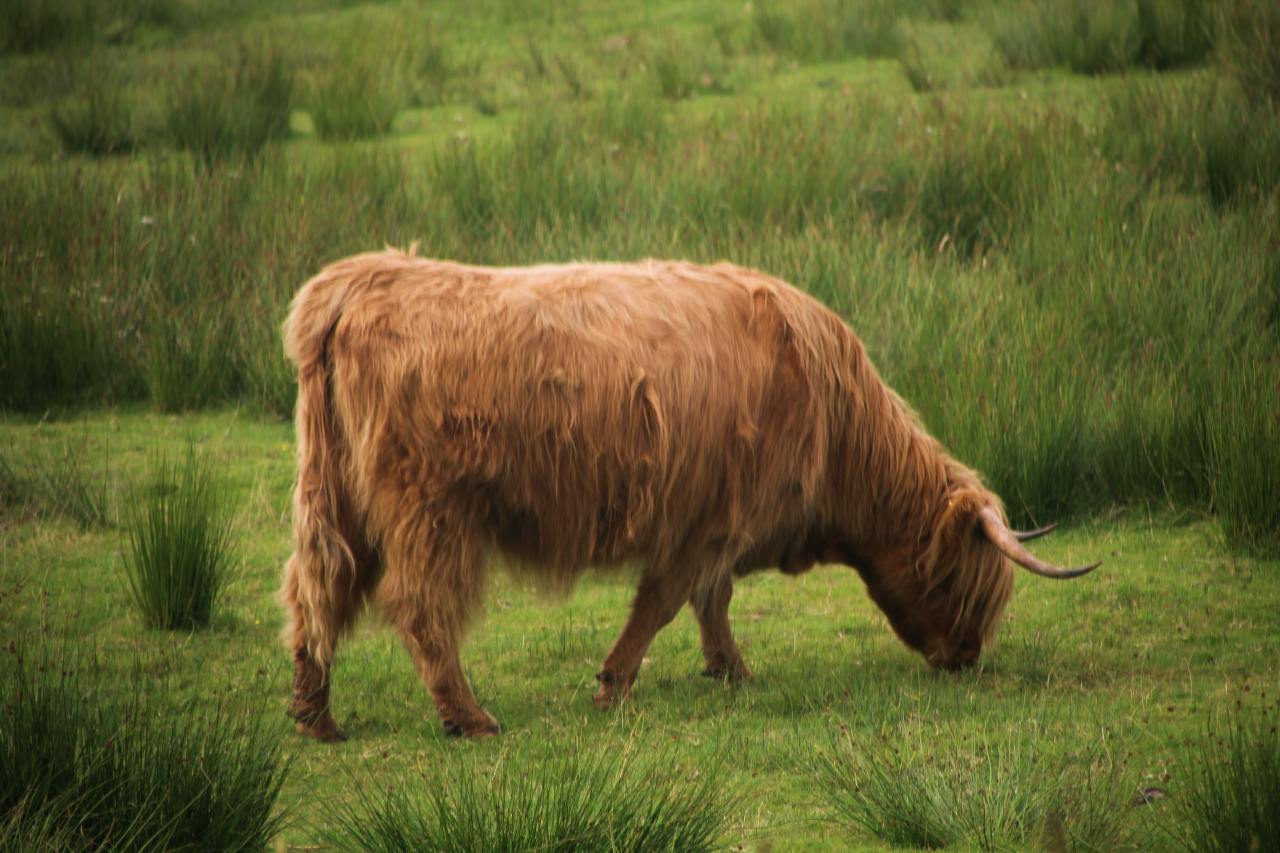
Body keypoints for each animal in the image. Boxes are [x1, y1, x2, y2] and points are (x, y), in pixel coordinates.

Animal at [280, 248, 1098, 741]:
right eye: (966, 579)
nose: (966, 657)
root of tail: (358, 280)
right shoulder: (711, 518)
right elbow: (669, 600)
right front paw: (616, 684)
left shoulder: (715, 524)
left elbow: (710, 601)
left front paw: (730, 670)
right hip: (433, 507)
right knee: (420, 608)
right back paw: (470, 716)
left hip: (333, 493)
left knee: (315, 588)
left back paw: (316, 716)